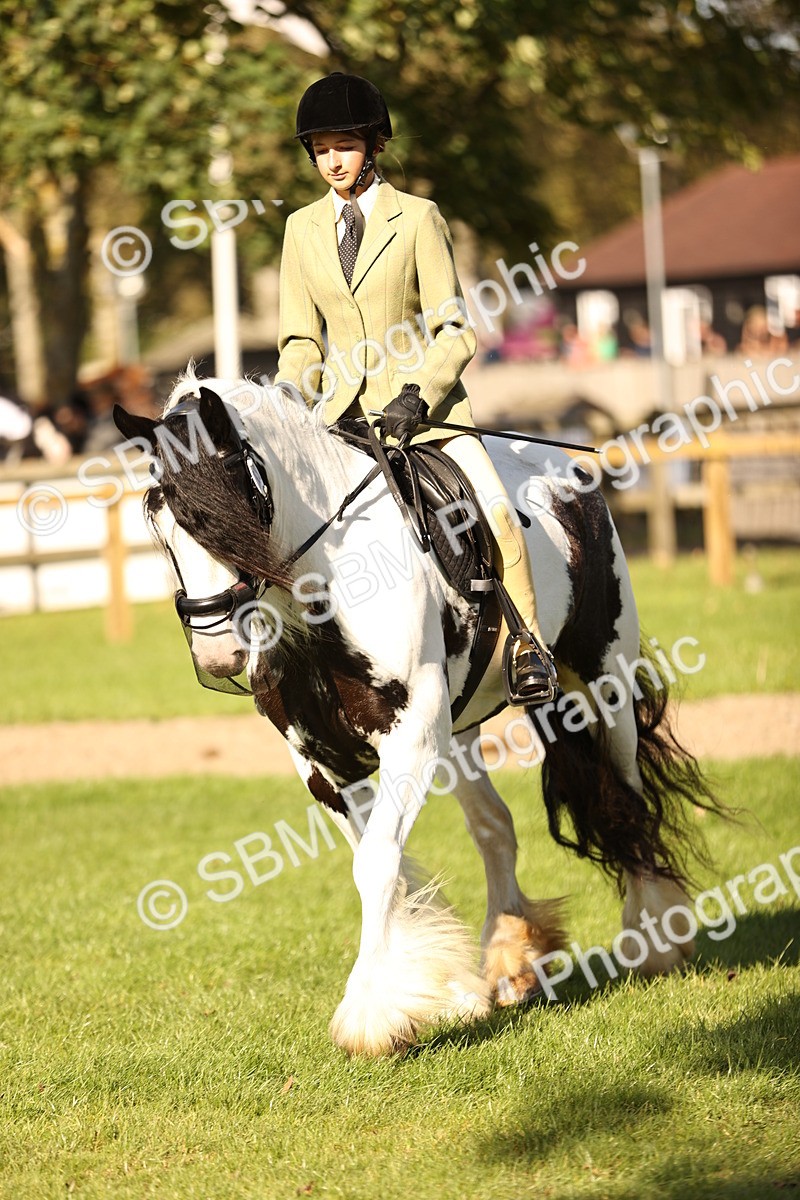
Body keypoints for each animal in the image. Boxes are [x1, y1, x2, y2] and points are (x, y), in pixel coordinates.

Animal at [114, 370, 719, 1057]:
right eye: (158, 517)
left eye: (227, 516)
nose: (217, 655)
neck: (325, 593)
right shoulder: (323, 762)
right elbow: (384, 864)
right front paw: (444, 992)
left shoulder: (410, 740)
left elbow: (378, 863)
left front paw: (373, 1015)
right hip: (461, 732)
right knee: (496, 826)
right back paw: (510, 959)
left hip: (601, 684)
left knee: (626, 799)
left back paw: (654, 937)